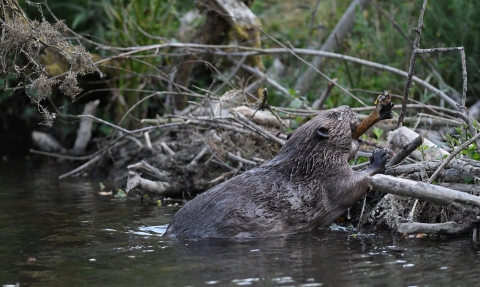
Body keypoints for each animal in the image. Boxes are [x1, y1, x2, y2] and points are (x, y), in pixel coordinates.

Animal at [163, 106, 388, 238]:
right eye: (335, 114)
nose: (348, 107)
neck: (307, 160)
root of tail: (170, 231)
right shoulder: (329, 173)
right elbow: (351, 187)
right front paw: (379, 156)